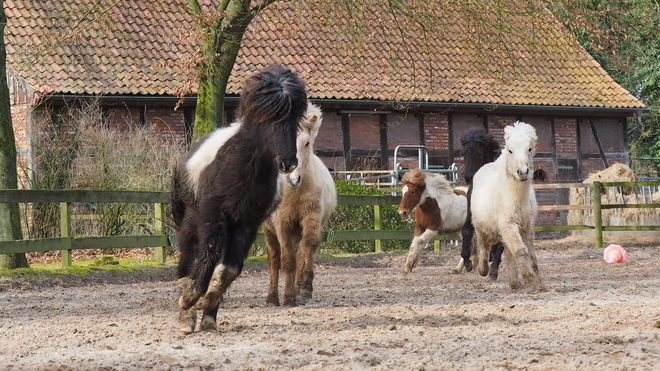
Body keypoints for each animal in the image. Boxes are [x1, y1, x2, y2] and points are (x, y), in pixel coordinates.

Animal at [171, 65, 308, 336]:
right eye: (268, 118)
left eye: (294, 118)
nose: (288, 164)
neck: (243, 166)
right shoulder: (213, 214)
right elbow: (208, 254)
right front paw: (191, 299)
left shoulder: (248, 222)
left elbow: (231, 269)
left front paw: (207, 303)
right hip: (192, 221)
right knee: (188, 259)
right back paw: (187, 316)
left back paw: (208, 319)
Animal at [458, 127, 506, 280]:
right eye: (464, 154)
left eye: (479, 153)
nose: (468, 177)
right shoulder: (471, 213)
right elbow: (466, 231)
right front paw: (467, 262)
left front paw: (493, 270)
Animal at [472, 120, 544, 292]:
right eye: (510, 151)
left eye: (529, 149)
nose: (523, 172)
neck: (514, 198)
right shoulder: (508, 224)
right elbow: (520, 251)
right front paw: (530, 280)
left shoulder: (526, 227)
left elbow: (531, 256)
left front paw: (538, 283)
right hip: (481, 226)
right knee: (484, 245)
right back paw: (483, 270)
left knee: (507, 251)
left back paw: (514, 282)